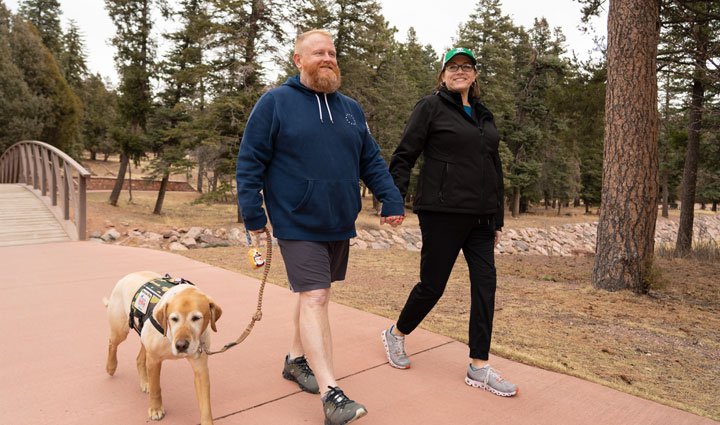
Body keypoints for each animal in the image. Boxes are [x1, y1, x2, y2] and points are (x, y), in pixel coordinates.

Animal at [105, 270, 221, 422]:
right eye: (173, 318)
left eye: (196, 318)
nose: (181, 345)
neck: (171, 337)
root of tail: (128, 276)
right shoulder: (154, 360)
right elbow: (156, 388)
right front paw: (155, 409)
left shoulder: (200, 367)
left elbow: (205, 404)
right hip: (120, 331)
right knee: (112, 343)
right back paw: (111, 367)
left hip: (143, 335)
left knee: (139, 359)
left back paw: (145, 382)